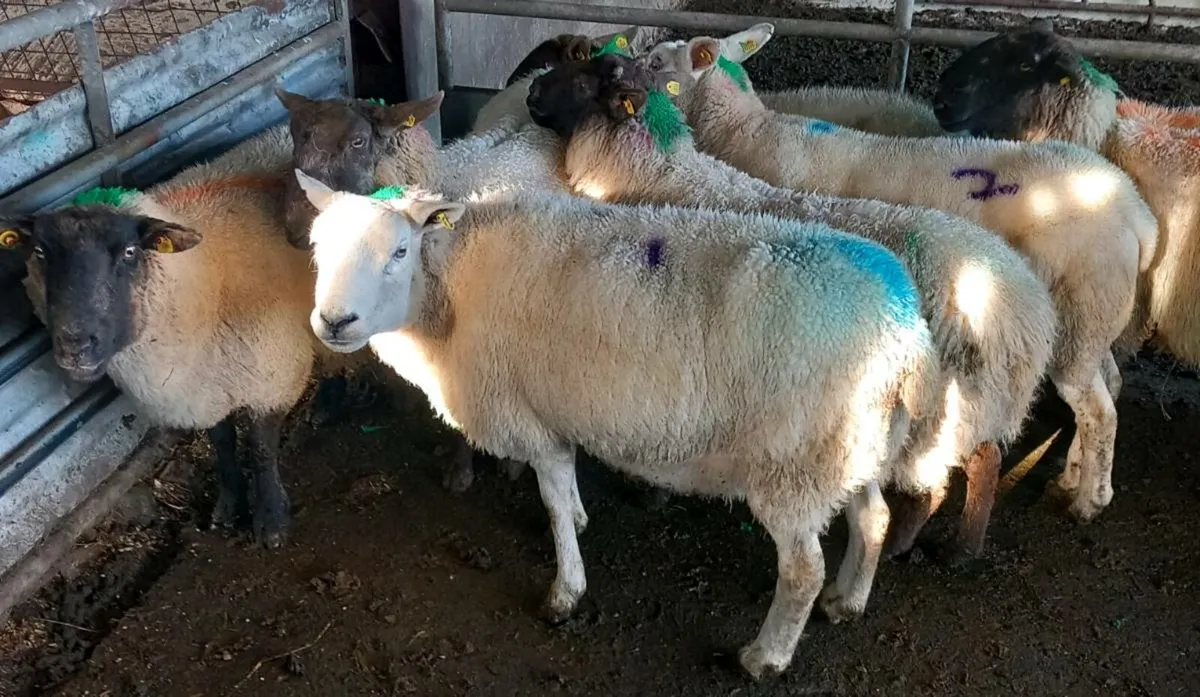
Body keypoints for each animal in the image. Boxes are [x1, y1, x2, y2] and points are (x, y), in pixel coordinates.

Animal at [0, 126, 349, 549]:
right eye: (38, 251)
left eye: (129, 252)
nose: (75, 345)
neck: (203, 284)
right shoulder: (200, 387)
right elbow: (222, 443)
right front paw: (228, 507)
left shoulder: (272, 376)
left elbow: (261, 449)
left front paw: (271, 521)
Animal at [292, 171, 944, 679]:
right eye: (317, 248)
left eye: (399, 252)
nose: (333, 321)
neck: (450, 289)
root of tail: (905, 332)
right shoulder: (557, 413)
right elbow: (568, 490)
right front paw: (582, 521)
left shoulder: (530, 420)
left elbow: (553, 502)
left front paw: (564, 593)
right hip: (854, 443)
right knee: (874, 518)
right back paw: (848, 601)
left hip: (794, 459)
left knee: (803, 570)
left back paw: (766, 657)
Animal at [526, 52, 1058, 563]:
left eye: (585, 80)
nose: (531, 91)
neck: (660, 174)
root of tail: (1027, 309)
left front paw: (647, 489)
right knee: (976, 460)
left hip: (947, 410)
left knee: (965, 469)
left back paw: (943, 549)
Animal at [644, 25, 1160, 524]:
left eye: (655, 61)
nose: (946, 95)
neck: (744, 131)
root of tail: (1136, 211)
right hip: (1093, 321)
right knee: (1109, 386)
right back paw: (1072, 477)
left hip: (1081, 317)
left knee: (1097, 409)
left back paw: (1089, 500)